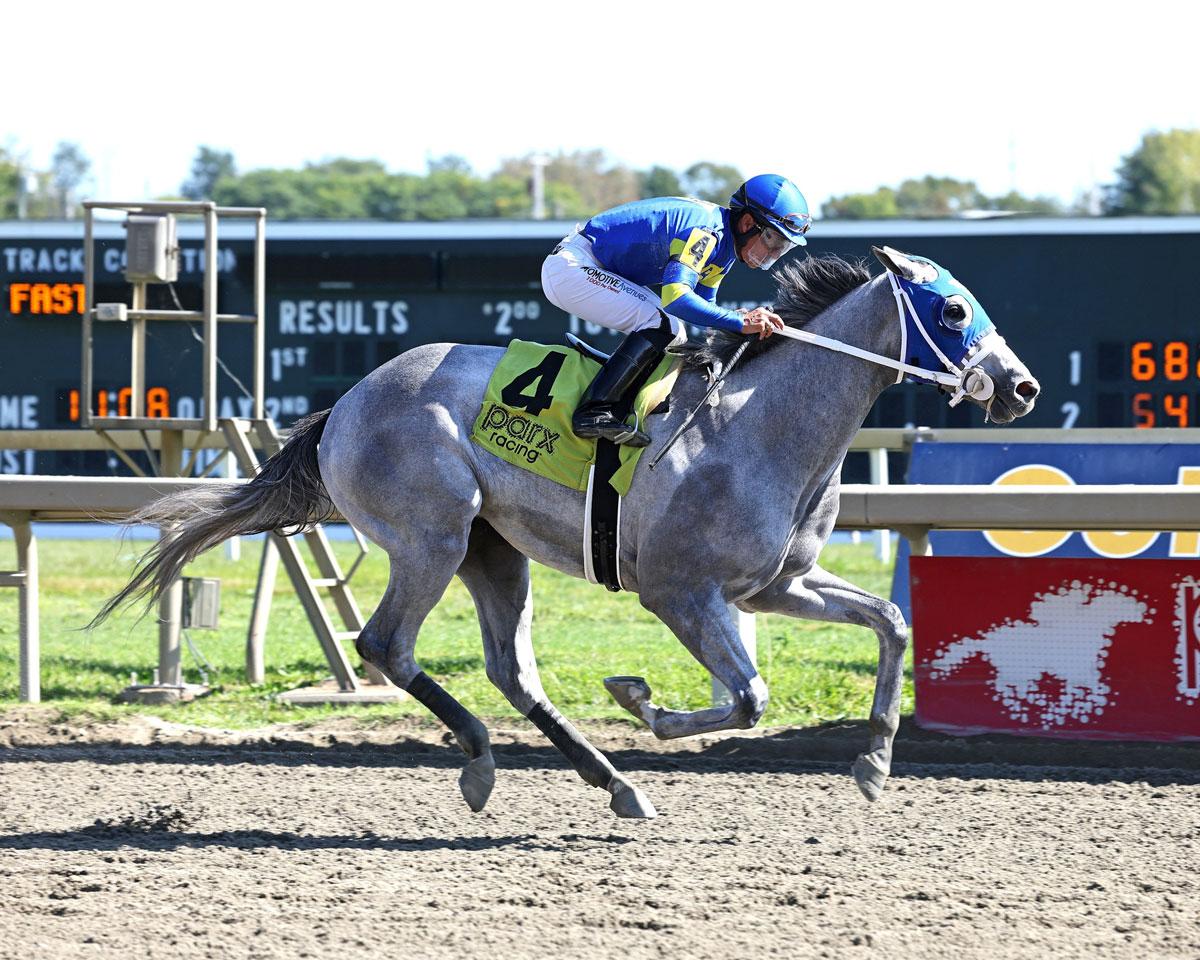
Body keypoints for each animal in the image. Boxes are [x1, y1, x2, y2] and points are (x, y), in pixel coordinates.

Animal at [97, 245, 1039, 820]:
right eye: (953, 313)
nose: (1021, 388)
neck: (761, 424)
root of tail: (347, 402)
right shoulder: (681, 593)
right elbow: (747, 697)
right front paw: (638, 698)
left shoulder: (778, 585)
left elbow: (893, 622)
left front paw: (875, 763)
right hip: (432, 537)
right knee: (386, 645)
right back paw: (484, 760)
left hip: (493, 551)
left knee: (511, 670)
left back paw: (612, 783)